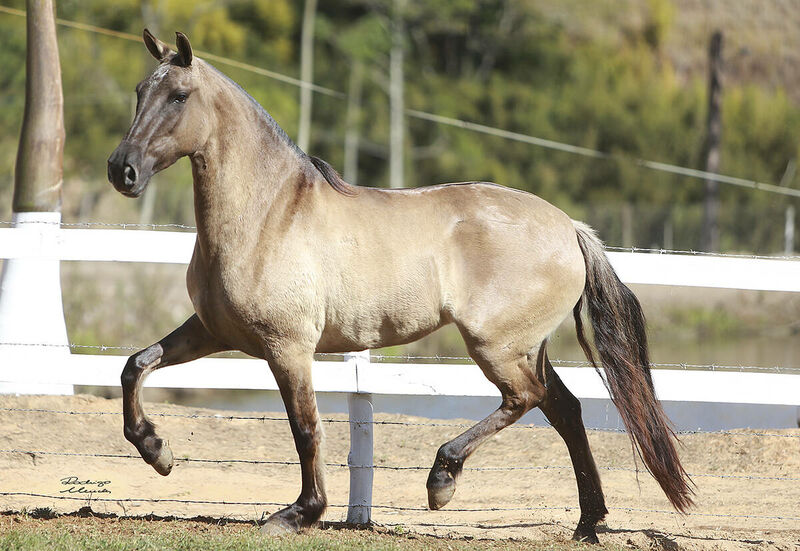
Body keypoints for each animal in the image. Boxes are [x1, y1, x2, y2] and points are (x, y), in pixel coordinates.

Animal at [108, 30, 692, 544]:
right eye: (138, 91)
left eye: (179, 96)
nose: (123, 170)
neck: (266, 216)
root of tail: (570, 228)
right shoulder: (214, 331)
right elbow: (136, 364)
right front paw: (157, 451)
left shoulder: (287, 348)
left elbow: (306, 429)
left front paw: (299, 513)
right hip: (527, 347)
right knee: (564, 410)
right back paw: (588, 523)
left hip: (496, 346)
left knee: (525, 398)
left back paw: (442, 480)